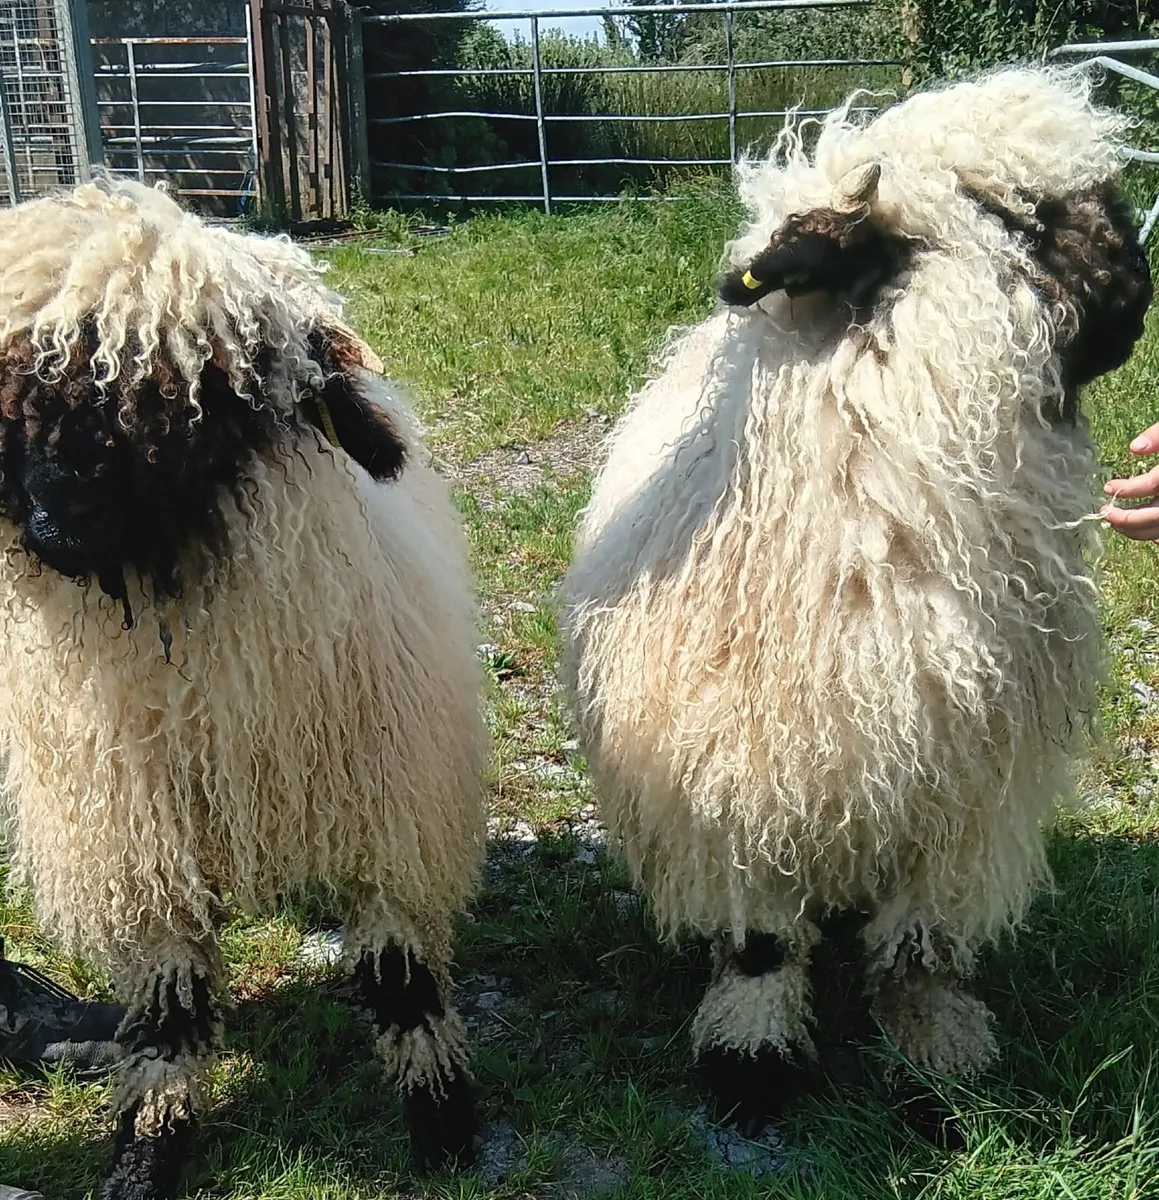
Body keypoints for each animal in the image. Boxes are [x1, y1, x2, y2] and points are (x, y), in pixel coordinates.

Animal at [0, 176, 488, 1198]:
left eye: (200, 398)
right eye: (15, 387)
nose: (59, 521)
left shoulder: (389, 806)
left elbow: (401, 976)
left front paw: (442, 1123)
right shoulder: (138, 844)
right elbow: (168, 1009)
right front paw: (146, 1151)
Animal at [559, 65, 1152, 1131]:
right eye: (1016, 213)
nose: (1140, 289)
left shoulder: (965, 795)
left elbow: (922, 944)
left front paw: (936, 1055)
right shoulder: (724, 779)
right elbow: (758, 943)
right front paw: (751, 1061)